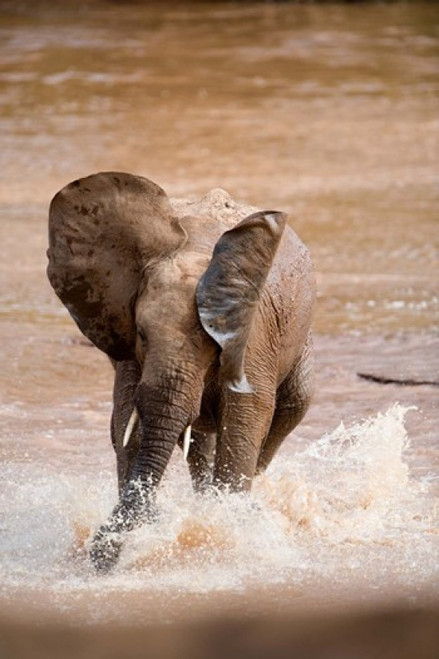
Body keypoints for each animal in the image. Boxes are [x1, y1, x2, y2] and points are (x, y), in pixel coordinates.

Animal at [47, 172, 315, 572]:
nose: (97, 552)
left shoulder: (253, 335)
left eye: (212, 343)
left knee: (294, 405)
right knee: (198, 440)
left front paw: (228, 530)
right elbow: (125, 421)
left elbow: (247, 416)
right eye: (142, 334)